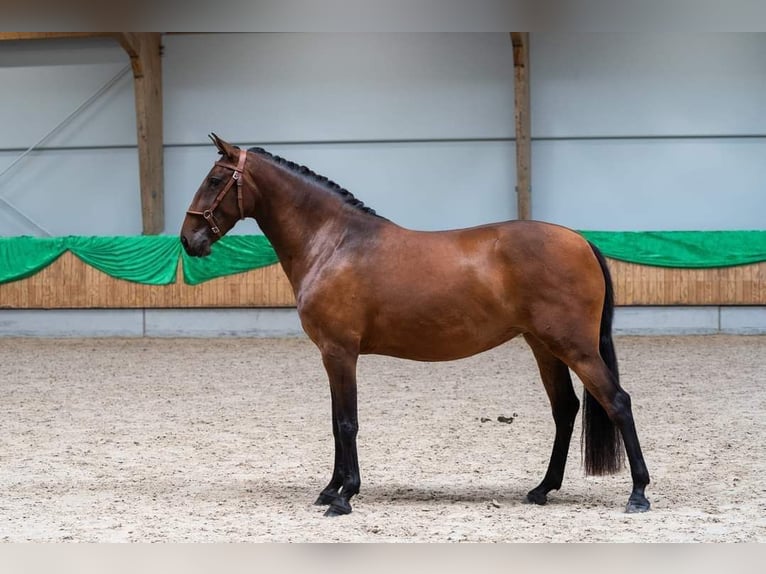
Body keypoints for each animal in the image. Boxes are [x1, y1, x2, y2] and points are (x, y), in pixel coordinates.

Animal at [182, 134, 656, 516]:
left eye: (214, 180)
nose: (188, 240)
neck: (334, 243)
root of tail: (580, 240)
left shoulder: (340, 353)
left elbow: (347, 422)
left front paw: (344, 496)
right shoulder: (332, 356)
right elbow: (335, 421)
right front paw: (330, 489)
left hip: (575, 347)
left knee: (618, 402)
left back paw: (638, 494)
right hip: (544, 346)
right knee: (566, 409)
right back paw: (542, 489)